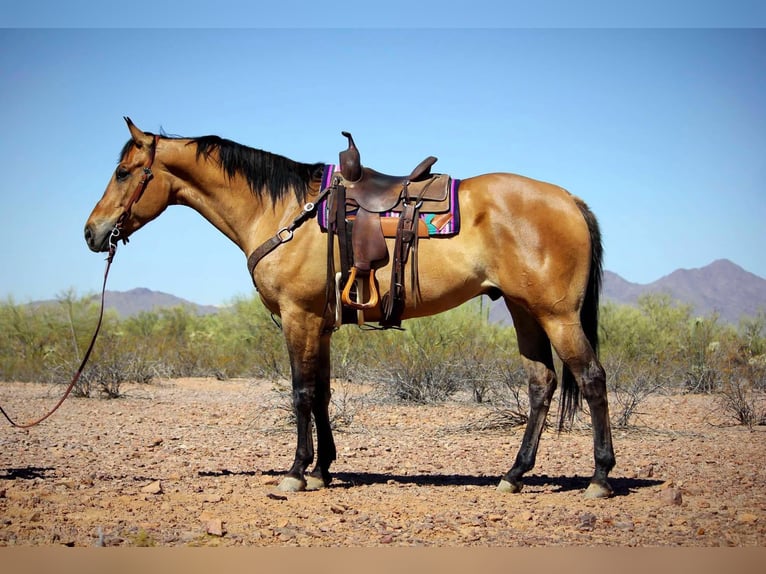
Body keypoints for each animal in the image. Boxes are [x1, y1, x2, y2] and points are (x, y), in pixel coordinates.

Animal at [84, 118, 615, 499]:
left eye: (123, 172)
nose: (92, 232)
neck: (282, 212)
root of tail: (569, 200)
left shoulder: (298, 318)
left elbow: (300, 393)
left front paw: (296, 472)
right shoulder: (319, 324)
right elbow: (321, 393)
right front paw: (322, 469)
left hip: (558, 315)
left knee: (591, 378)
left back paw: (599, 478)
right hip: (525, 311)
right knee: (541, 384)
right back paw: (514, 474)